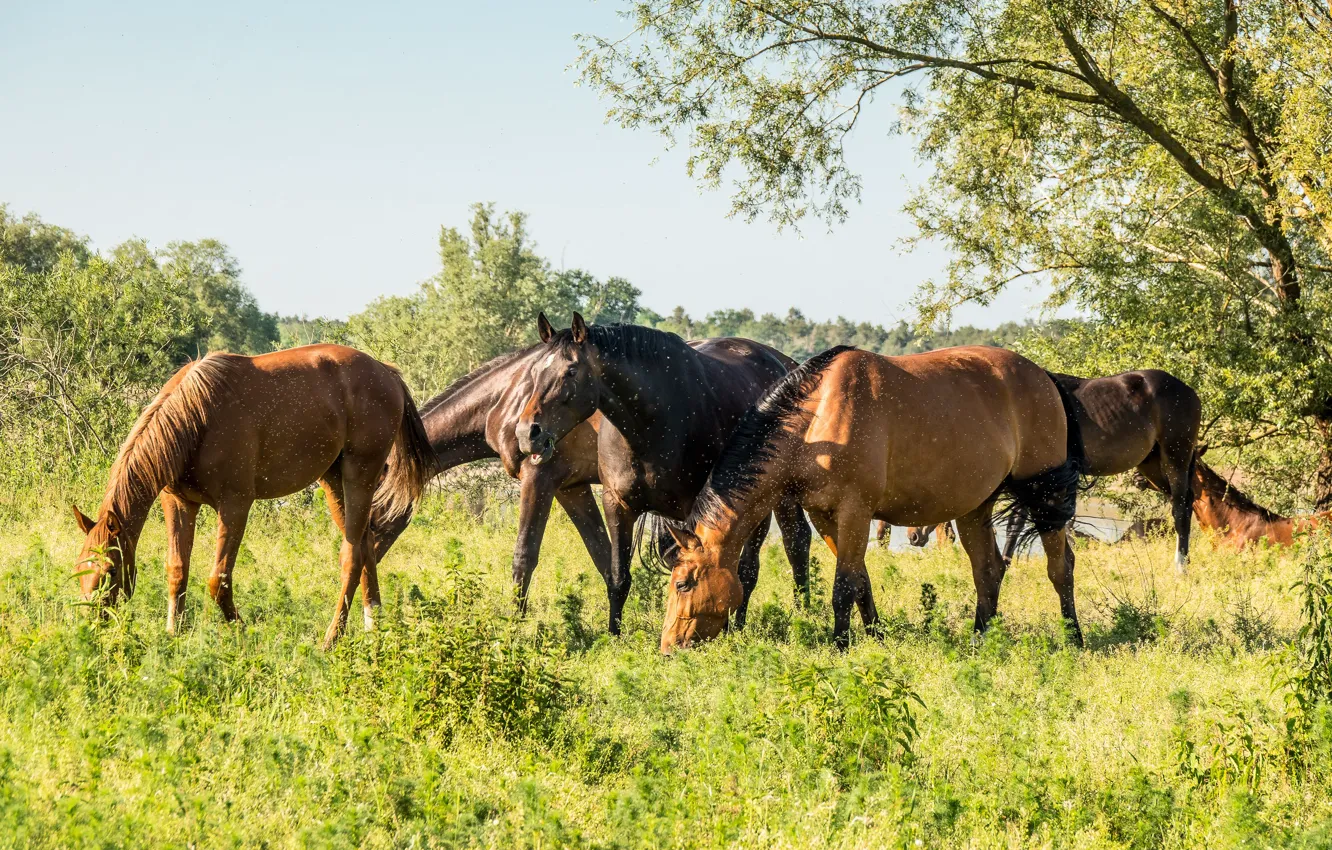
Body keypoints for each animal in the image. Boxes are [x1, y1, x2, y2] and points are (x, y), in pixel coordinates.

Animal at [71, 345, 436, 649]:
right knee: (366, 544)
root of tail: (387, 372)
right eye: (80, 566)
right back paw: (375, 625)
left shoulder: (235, 505)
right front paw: (174, 633)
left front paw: (243, 633)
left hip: (359, 476)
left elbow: (218, 580)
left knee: (352, 556)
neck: (197, 416)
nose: (92, 626)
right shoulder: (179, 503)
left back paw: (332, 639)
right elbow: (177, 570)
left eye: (110, 571)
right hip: (333, 482)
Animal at [367, 346, 612, 614]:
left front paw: (516, 620)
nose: (362, 565)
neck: (509, 399)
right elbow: (604, 556)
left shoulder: (538, 479)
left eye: (372, 513)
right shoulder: (571, 488)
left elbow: (524, 557)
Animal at [515, 313, 813, 635]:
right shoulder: (618, 505)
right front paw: (613, 634)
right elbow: (619, 576)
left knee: (773, 554)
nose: (527, 433)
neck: (654, 424)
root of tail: (782, 363)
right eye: (535, 370)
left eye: (571, 371)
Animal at [658, 345, 1085, 652]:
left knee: (1060, 567)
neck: (817, 421)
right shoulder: (825, 516)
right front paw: (876, 634)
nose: (668, 647)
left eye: (684, 584)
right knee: (988, 570)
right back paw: (982, 640)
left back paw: (1073, 638)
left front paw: (840, 644)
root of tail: (1044, 377)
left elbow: (843, 586)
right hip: (975, 507)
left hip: (1046, 497)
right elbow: (860, 581)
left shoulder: (854, 512)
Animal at [997, 370, 1200, 571]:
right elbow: (1014, 526)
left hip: (1176, 456)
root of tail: (1189, 392)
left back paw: (1180, 568)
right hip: (1151, 463)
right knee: (1183, 502)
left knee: (1180, 508)